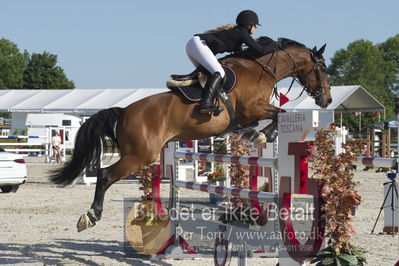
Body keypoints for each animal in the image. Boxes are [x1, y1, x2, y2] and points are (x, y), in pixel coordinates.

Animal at [49, 37, 332, 231]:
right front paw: (263, 135)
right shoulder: (252, 108)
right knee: (105, 175)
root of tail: (124, 111)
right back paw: (90, 216)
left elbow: (276, 113)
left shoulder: (250, 113)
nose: (327, 100)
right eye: (323, 68)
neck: (262, 70)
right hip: (140, 155)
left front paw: (256, 134)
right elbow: (280, 111)